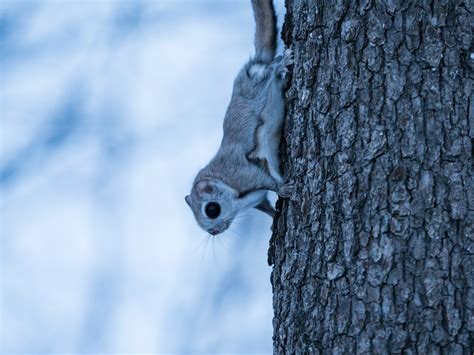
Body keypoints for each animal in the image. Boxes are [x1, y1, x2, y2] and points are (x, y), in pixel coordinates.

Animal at [185, 0, 292, 236]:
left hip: (257, 87)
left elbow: (267, 179)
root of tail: (253, 65)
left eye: (211, 209)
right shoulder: (257, 199)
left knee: (270, 70)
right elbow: (266, 205)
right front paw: (274, 218)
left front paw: (283, 188)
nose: (214, 232)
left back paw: (281, 63)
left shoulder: (242, 172)